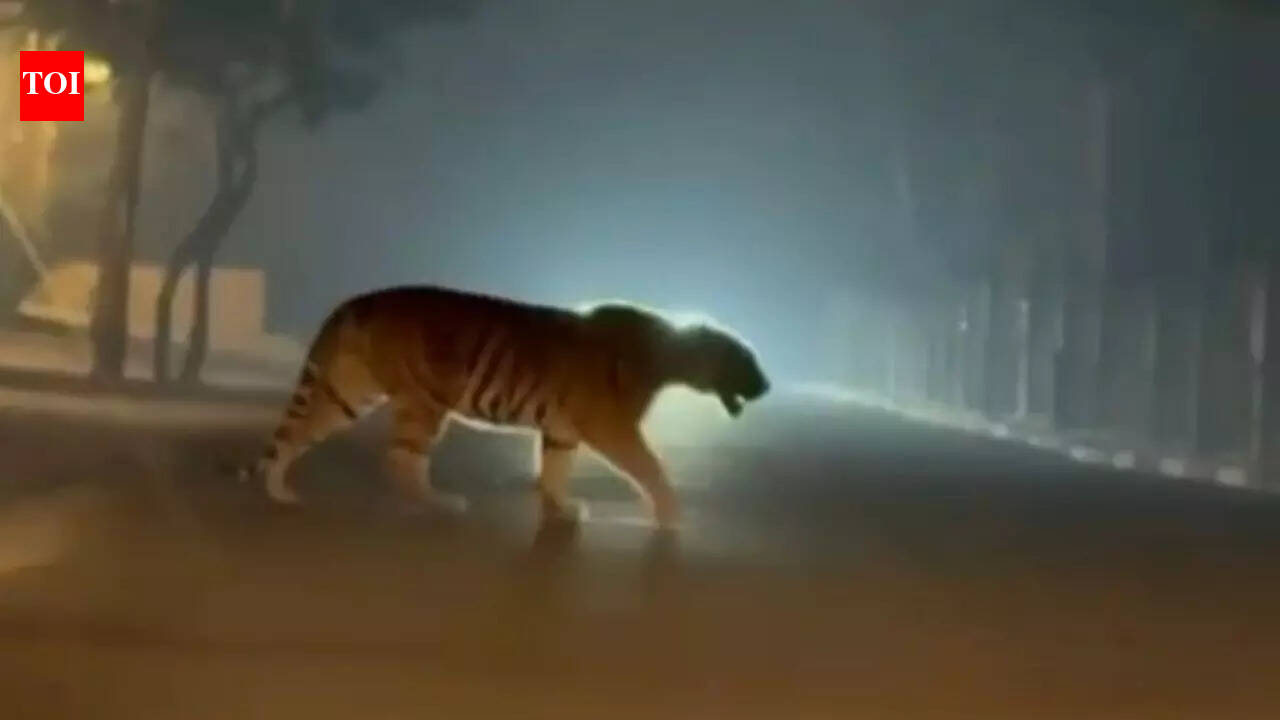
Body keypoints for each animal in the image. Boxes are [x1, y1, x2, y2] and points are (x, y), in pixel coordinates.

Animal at [240, 285, 770, 531]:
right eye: (749, 360)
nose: (767, 386)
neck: (670, 356)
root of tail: (359, 300)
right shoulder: (610, 426)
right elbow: (650, 467)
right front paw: (673, 516)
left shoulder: (563, 430)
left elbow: (555, 470)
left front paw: (561, 510)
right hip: (424, 401)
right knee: (401, 460)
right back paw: (441, 503)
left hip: (348, 393)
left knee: (296, 434)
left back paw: (280, 492)